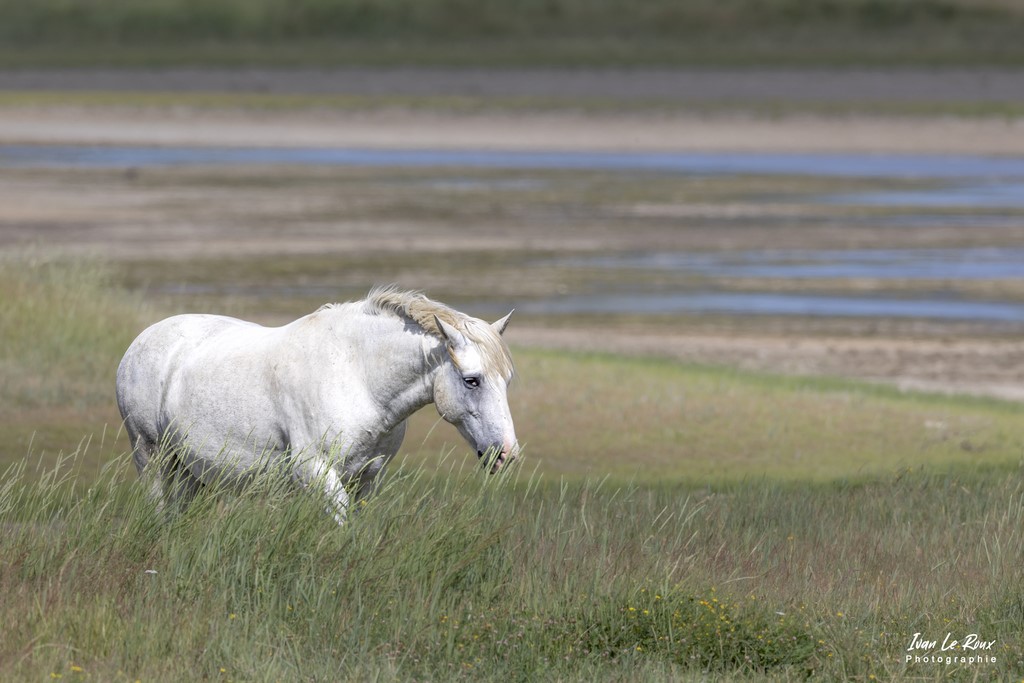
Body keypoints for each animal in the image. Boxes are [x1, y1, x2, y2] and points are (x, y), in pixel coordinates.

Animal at [115, 286, 516, 524]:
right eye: (472, 380)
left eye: (508, 380)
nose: (506, 454)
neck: (357, 374)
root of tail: (141, 341)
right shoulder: (316, 471)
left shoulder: (367, 477)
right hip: (149, 452)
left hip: (188, 467)